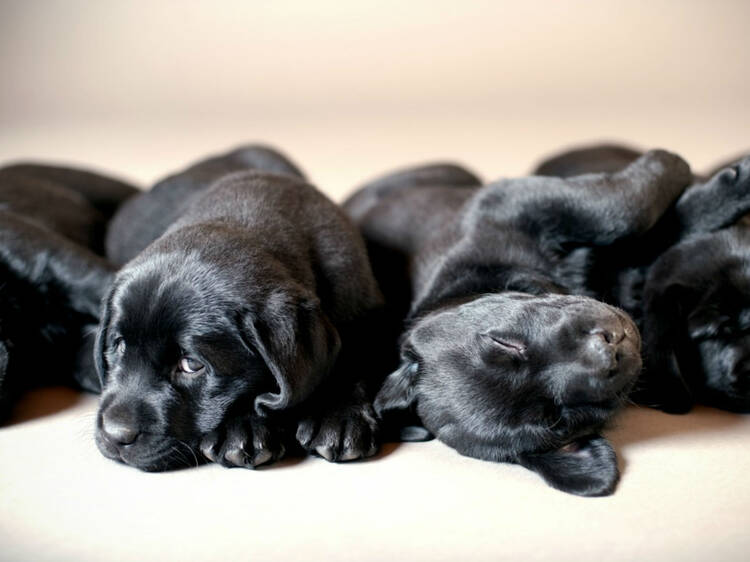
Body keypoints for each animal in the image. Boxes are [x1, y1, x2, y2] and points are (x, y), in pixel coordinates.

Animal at [96, 144, 384, 468]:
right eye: (118, 345)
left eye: (192, 364)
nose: (115, 434)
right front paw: (241, 430)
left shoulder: (364, 308)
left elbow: (356, 357)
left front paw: (338, 416)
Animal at [346, 150, 692, 494]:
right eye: (556, 416)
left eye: (504, 343)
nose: (608, 348)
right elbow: (626, 207)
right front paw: (672, 162)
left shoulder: (508, 203)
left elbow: (616, 212)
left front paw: (669, 162)